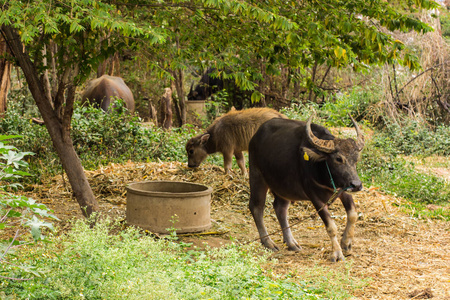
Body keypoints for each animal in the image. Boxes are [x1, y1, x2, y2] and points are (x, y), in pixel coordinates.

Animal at [248, 116, 364, 262]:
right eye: (338, 159)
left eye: (356, 159)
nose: (357, 185)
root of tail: (255, 137)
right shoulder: (314, 196)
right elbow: (331, 226)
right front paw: (337, 253)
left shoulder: (344, 188)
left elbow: (353, 214)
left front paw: (346, 243)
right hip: (256, 176)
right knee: (256, 207)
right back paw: (268, 242)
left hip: (284, 187)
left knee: (280, 208)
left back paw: (291, 243)